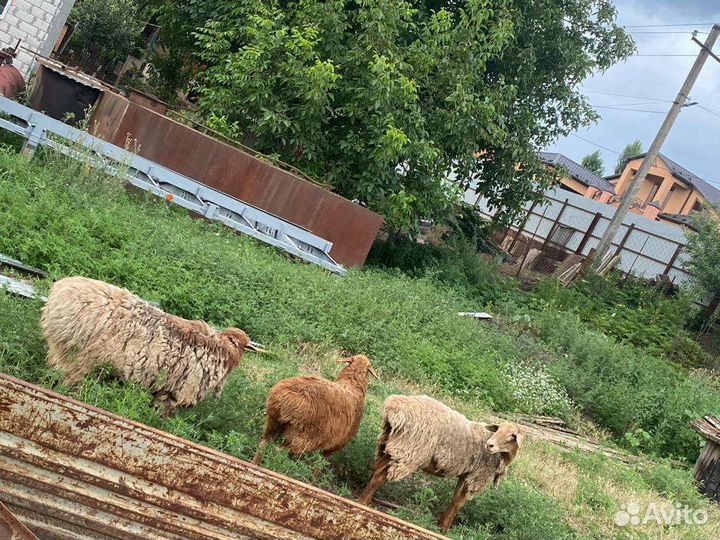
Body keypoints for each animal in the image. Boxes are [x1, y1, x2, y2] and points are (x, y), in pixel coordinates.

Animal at [41, 276, 263, 416]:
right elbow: (161, 416)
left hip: (62, 354)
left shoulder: (163, 389)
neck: (221, 350)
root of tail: (59, 294)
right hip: (79, 361)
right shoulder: (176, 393)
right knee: (68, 384)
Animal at [358, 395, 524, 532]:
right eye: (498, 430)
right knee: (380, 475)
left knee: (376, 467)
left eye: (512, 436)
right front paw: (444, 528)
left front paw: (441, 523)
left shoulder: (466, 474)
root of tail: (394, 408)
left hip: (392, 444)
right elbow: (459, 503)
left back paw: (365, 499)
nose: (489, 445)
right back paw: (363, 503)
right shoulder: (477, 476)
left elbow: (454, 500)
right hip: (410, 450)